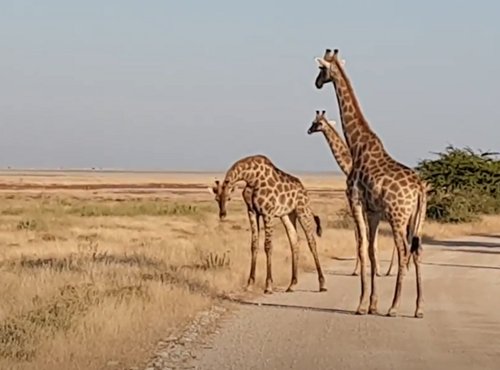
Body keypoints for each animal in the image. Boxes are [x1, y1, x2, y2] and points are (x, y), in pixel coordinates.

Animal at [211, 155, 328, 294]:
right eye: (216, 199)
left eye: (229, 198)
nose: (222, 214)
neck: (251, 178)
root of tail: (304, 190)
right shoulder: (252, 212)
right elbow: (254, 245)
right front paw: (249, 284)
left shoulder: (268, 213)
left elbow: (268, 246)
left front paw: (268, 285)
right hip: (288, 215)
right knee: (294, 241)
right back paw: (292, 285)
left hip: (302, 211)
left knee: (311, 242)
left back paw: (322, 284)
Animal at [312, 49, 426, 318]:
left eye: (321, 70)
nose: (317, 83)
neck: (356, 146)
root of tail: (419, 189)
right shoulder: (373, 210)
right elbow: (372, 251)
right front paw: (372, 303)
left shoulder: (354, 201)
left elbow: (362, 247)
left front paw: (362, 305)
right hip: (414, 218)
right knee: (416, 251)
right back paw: (418, 308)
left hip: (397, 215)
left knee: (404, 250)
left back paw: (394, 307)